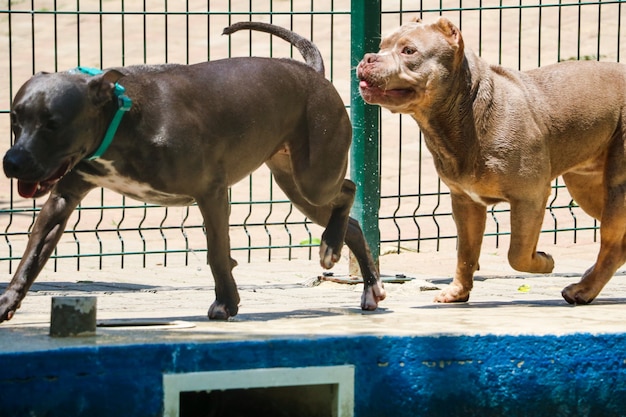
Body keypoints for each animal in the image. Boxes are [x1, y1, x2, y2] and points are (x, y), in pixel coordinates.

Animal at [1, 22, 386, 322]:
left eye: (53, 124)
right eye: (15, 119)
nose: (12, 162)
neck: (122, 116)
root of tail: (312, 73)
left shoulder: (211, 193)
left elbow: (217, 253)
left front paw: (226, 302)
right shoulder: (62, 199)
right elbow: (31, 256)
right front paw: (7, 302)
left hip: (315, 179)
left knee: (349, 189)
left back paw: (331, 247)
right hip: (298, 188)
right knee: (352, 224)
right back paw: (369, 286)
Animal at [356, 16, 624, 304]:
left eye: (409, 51)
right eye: (382, 46)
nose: (368, 57)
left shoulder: (530, 196)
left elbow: (517, 254)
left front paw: (544, 261)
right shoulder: (465, 202)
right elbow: (466, 252)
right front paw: (458, 292)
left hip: (616, 187)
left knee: (611, 244)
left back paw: (583, 290)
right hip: (586, 186)